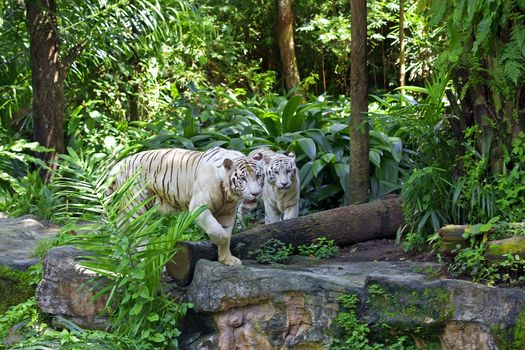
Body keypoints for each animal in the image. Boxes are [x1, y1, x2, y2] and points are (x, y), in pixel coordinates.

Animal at [108, 147, 264, 266]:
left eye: (258, 176)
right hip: (138, 205)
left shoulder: (228, 212)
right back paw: (145, 260)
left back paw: (119, 256)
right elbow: (221, 234)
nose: (256, 193)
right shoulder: (198, 207)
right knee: (139, 234)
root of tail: (121, 162)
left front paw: (227, 259)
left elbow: (226, 234)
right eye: (243, 178)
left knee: (121, 229)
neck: (228, 194)